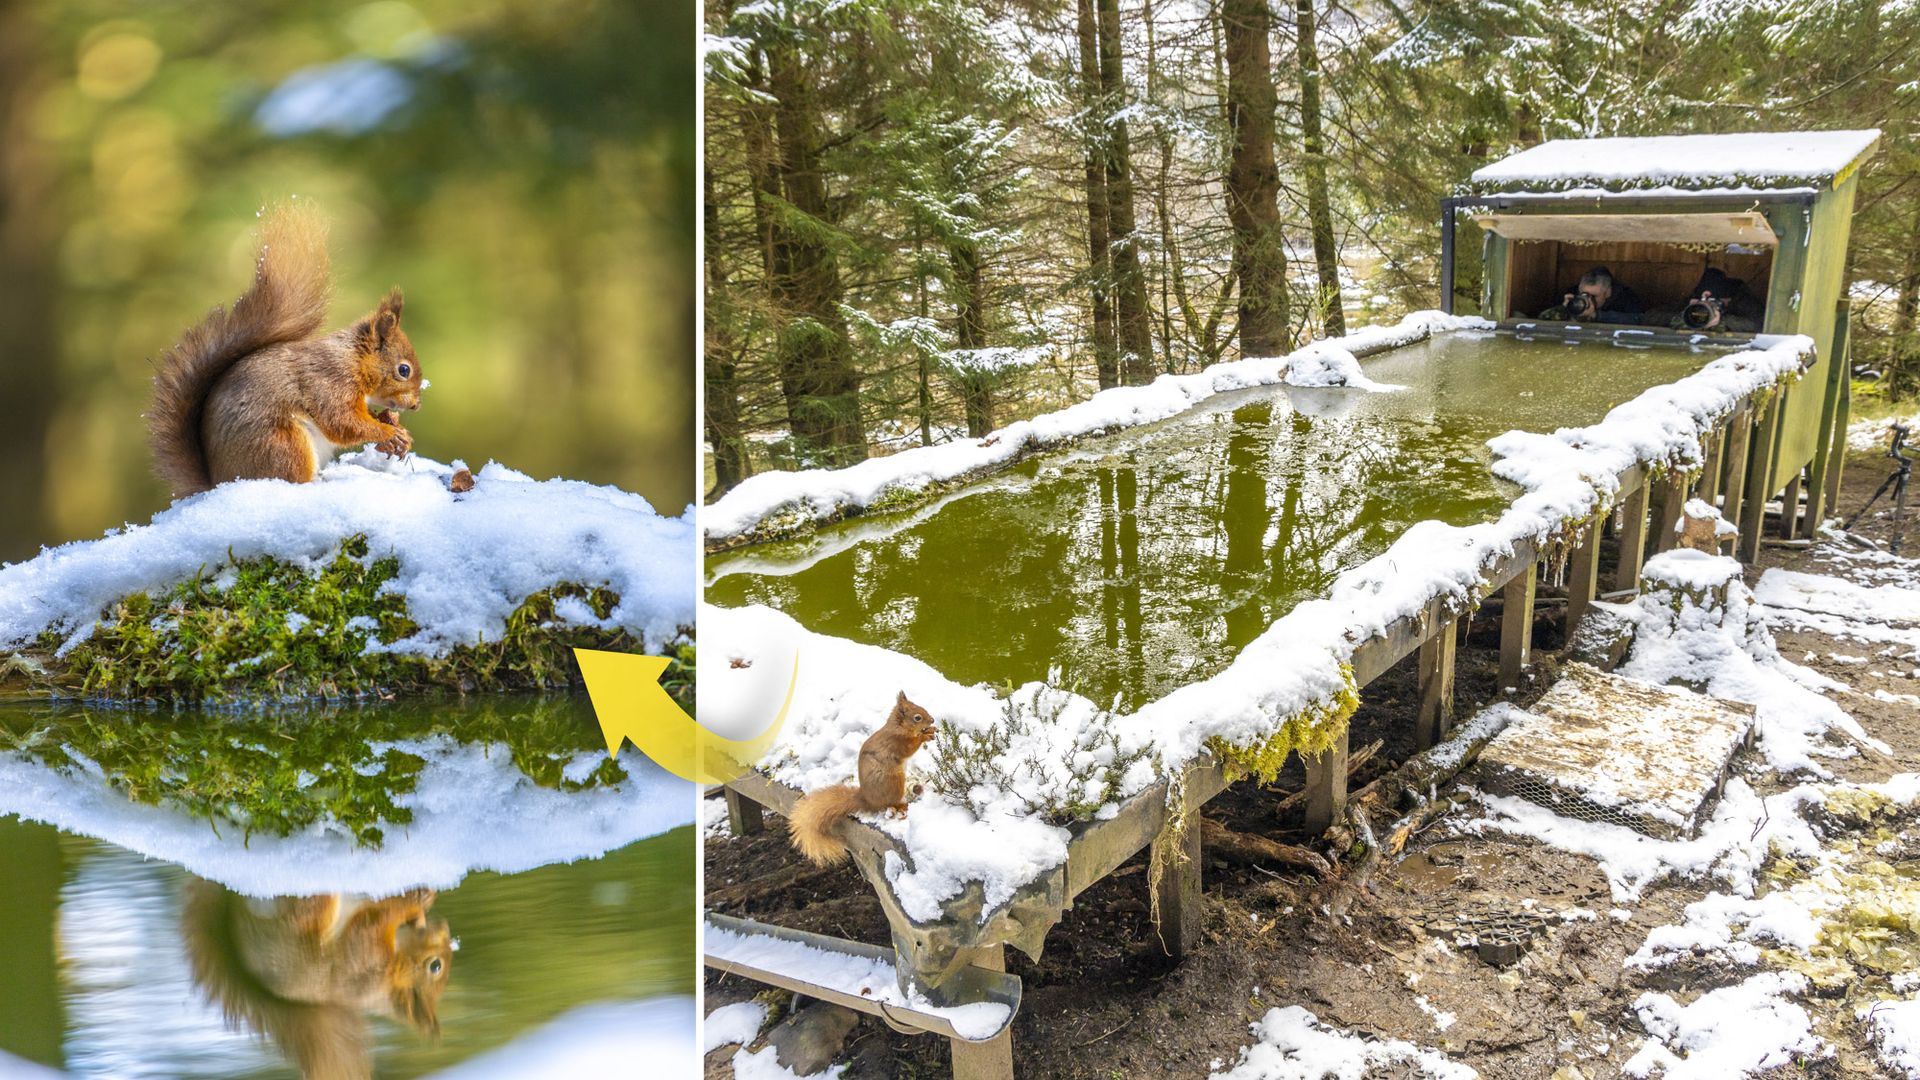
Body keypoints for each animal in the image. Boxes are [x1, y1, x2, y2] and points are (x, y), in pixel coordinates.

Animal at [148, 201, 425, 497]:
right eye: (404, 370)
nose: (416, 405)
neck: (353, 359)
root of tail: (221, 482)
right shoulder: (329, 381)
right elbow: (343, 422)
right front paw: (389, 433)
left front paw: (392, 425)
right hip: (284, 444)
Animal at [182, 881, 453, 1080]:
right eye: (436, 966)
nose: (444, 927)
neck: (386, 983)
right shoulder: (365, 964)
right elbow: (369, 926)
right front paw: (414, 901)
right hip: (306, 915)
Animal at [788, 692, 938, 866]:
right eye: (917, 718)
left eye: (922, 708)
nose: (932, 720)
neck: (898, 727)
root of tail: (867, 800)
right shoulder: (898, 743)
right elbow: (911, 747)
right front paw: (924, 736)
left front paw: (931, 730)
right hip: (895, 782)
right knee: (892, 803)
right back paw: (903, 806)